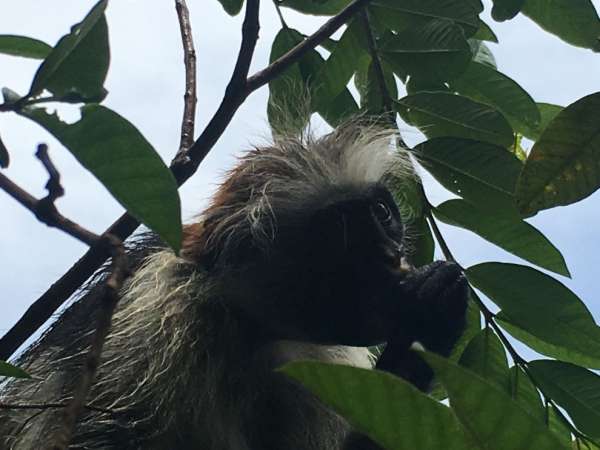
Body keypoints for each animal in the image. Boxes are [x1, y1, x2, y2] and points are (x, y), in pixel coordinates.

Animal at [0, 124, 468, 450]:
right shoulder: (157, 317)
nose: (392, 257)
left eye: (383, 214)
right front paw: (427, 323)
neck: (248, 330)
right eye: (341, 230)